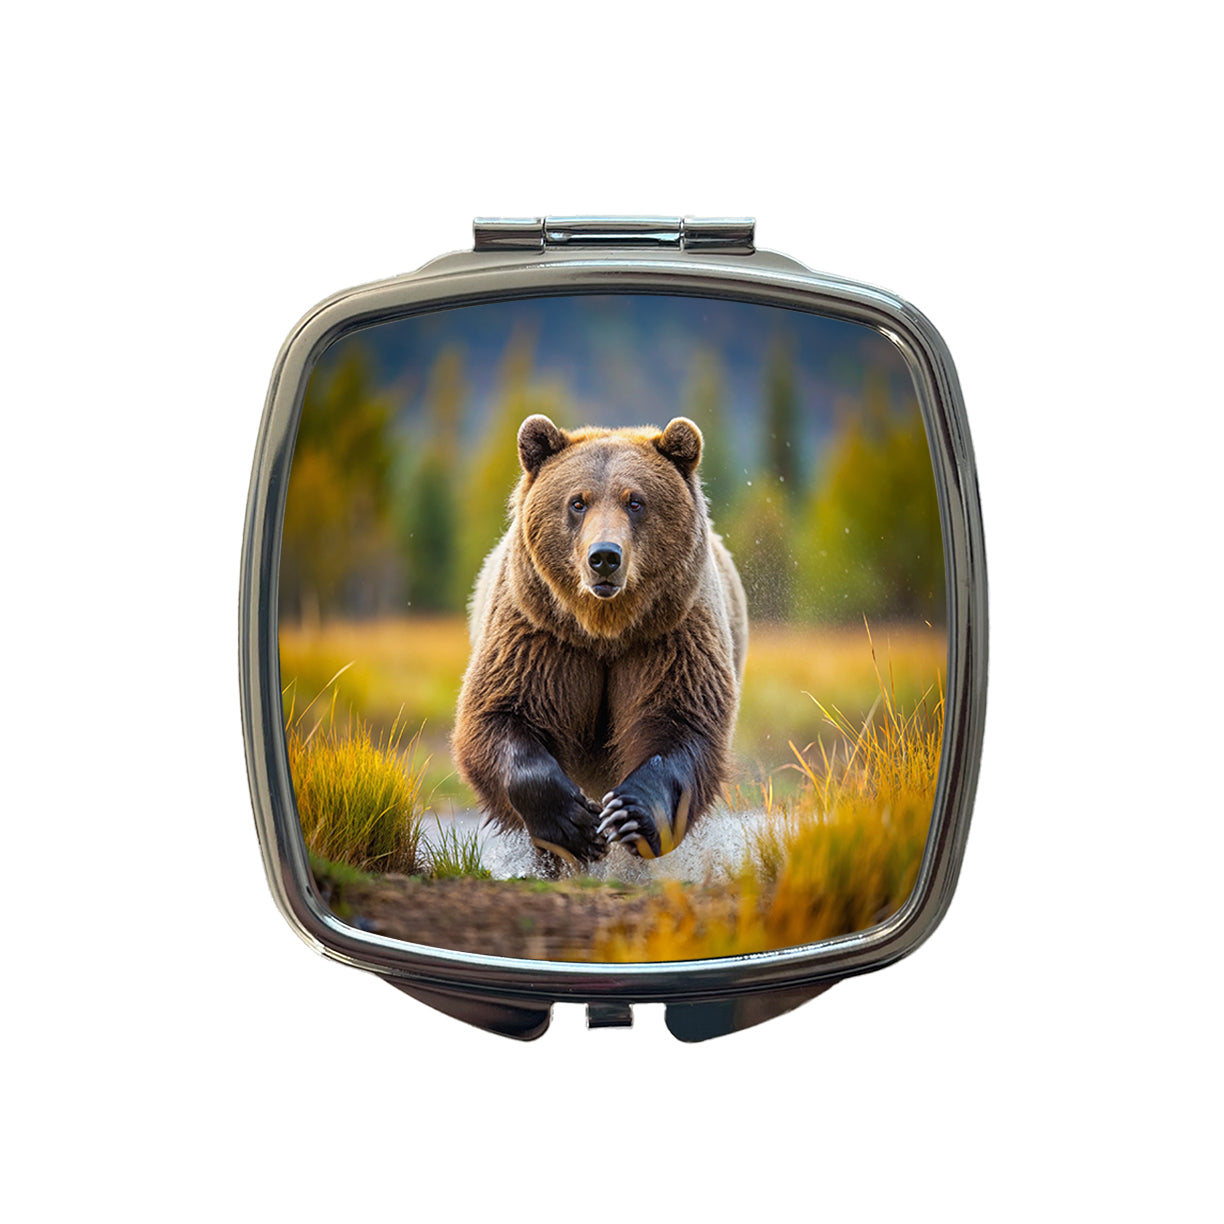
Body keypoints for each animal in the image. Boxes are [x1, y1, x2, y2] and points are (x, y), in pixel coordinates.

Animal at [451, 413, 748, 869]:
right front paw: (574, 823)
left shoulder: (669, 637)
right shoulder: (540, 636)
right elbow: (501, 713)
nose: (604, 556)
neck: (603, 629)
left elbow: (682, 720)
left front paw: (628, 813)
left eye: (635, 501)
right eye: (578, 502)